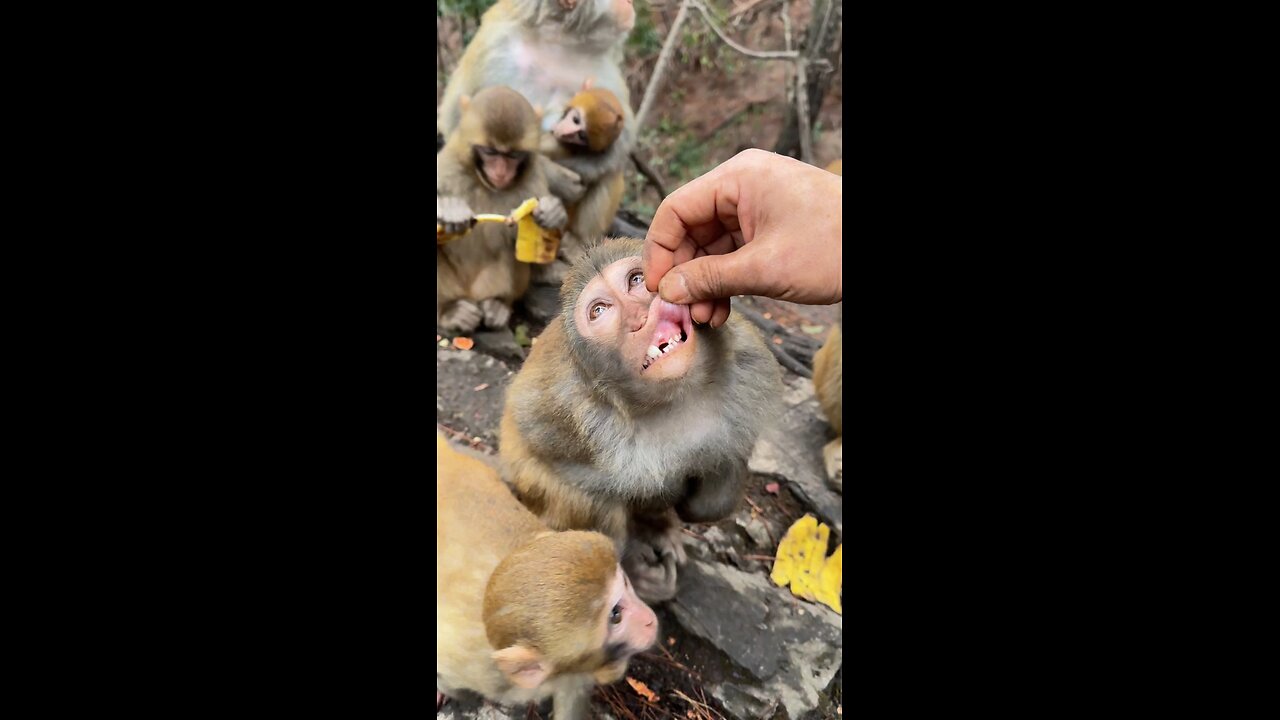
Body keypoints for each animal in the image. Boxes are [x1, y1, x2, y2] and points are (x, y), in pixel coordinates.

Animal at [437, 85, 568, 333]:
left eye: (513, 155)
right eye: (490, 152)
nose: (500, 173)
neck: (484, 184)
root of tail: (470, 292)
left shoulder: (533, 181)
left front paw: (554, 213)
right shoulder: (446, 167)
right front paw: (450, 209)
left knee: (512, 244)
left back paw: (497, 303)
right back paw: (449, 310)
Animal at [440, 0, 640, 252]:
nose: (629, 3)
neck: (559, 39)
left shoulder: (601, 65)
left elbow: (620, 138)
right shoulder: (494, 44)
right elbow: (457, 120)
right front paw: (556, 177)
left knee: (610, 170)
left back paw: (577, 239)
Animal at [496, 237, 778, 599]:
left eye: (637, 281)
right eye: (599, 311)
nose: (640, 317)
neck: (679, 394)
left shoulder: (749, 365)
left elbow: (726, 455)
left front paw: (700, 502)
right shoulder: (574, 413)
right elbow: (563, 465)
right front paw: (635, 560)